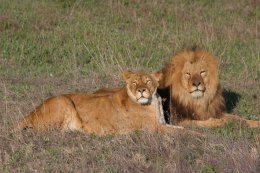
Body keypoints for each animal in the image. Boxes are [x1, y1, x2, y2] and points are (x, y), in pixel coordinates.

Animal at [15, 70, 185, 135]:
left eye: (148, 81)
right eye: (135, 82)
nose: (141, 90)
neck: (154, 102)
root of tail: (30, 113)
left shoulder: (162, 124)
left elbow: (181, 128)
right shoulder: (155, 128)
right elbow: (183, 132)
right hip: (63, 101)